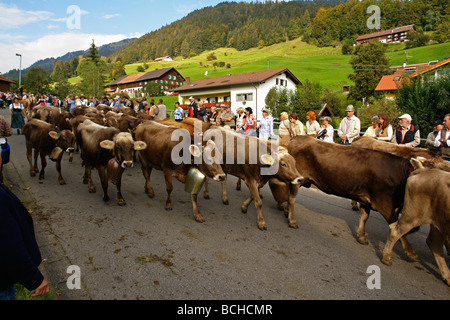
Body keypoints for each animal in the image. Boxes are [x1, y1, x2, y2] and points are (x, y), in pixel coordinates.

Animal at [286, 134, 420, 260]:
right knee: (292, 199)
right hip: (297, 180)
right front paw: (411, 253)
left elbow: (364, 217)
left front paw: (361, 236)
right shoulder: (384, 203)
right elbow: (399, 227)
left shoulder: (366, 200)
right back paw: (292, 220)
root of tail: (298, 137)